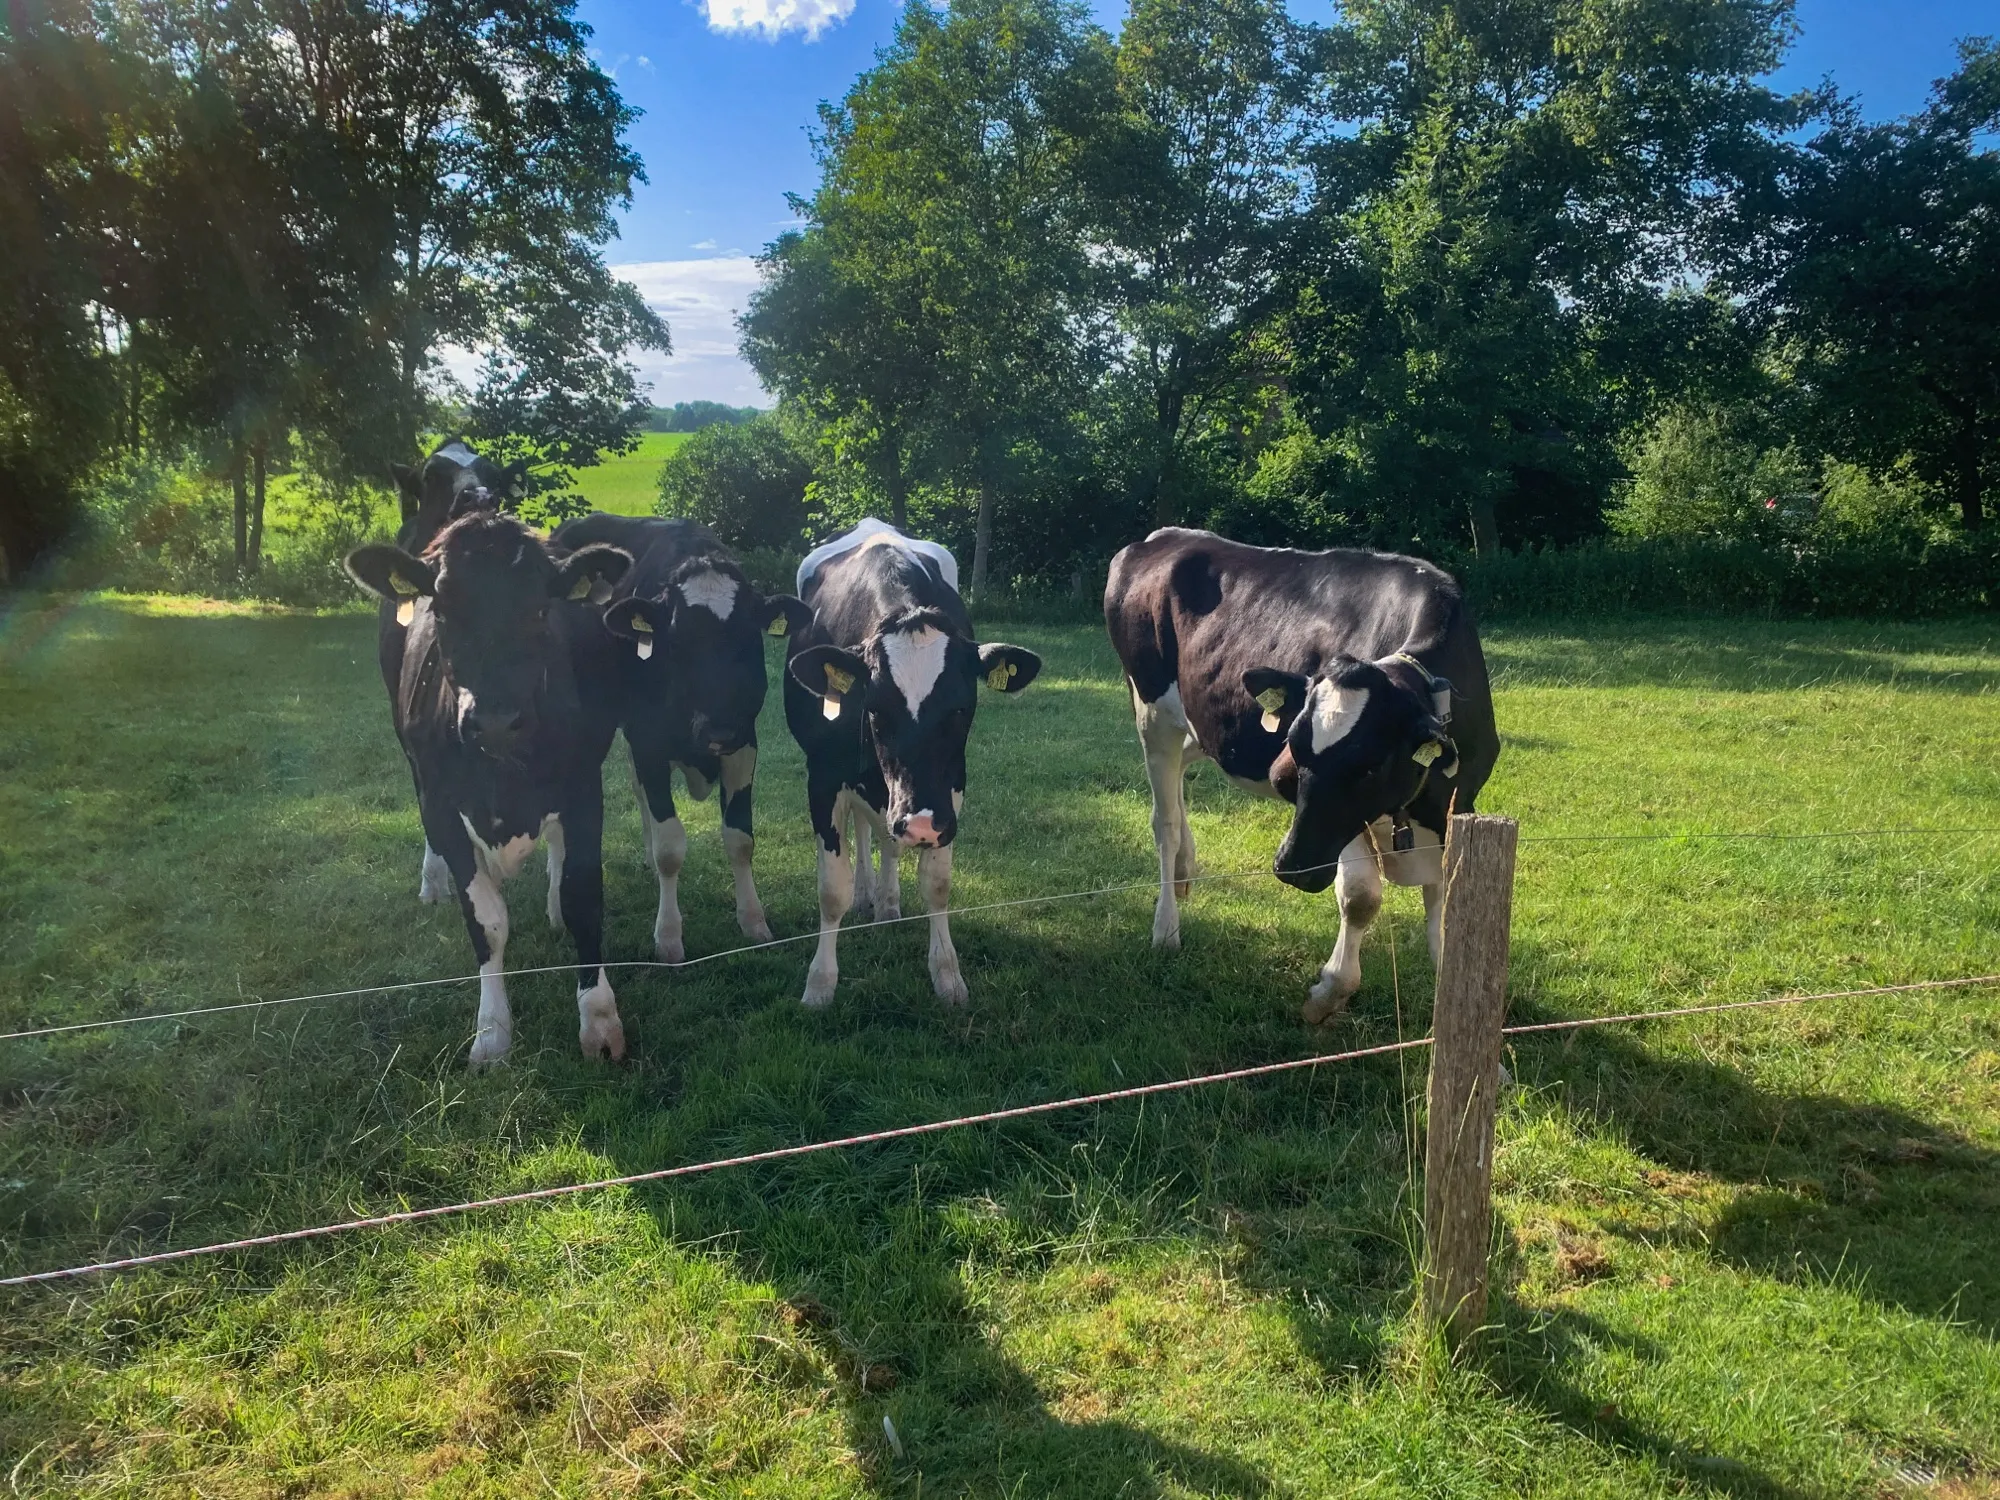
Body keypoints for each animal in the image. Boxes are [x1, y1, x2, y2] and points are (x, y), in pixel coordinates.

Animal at [345, 510, 633, 1066]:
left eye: (541, 609)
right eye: (442, 609)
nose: (496, 721)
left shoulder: (584, 788)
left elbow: (582, 898)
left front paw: (600, 1022)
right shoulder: (439, 803)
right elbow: (487, 921)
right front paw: (493, 1033)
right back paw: (433, 881)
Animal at [549, 513, 811, 962]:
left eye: (747, 636)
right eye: (676, 640)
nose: (717, 729)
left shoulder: (744, 743)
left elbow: (740, 839)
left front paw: (753, 920)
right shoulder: (648, 742)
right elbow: (670, 846)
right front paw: (669, 936)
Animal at [782, 519, 1041, 1009]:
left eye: (961, 708)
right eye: (875, 710)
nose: (919, 824)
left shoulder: (948, 790)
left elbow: (937, 885)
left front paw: (947, 975)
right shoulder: (821, 777)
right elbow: (831, 889)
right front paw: (819, 984)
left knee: (884, 834)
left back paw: (886, 903)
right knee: (866, 828)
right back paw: (867, 895)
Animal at [1103, 528, 1499, 1024]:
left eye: (1371, 765)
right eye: (1293, 748)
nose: (1293, 867)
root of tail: (1160, 536)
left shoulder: (1457, 803)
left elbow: (1447, 912)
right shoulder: (1340, 826)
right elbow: (1360, 897)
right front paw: (1327, 994)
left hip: (1201, 724)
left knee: (1183, 777)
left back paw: (1184, 869)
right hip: (1152, 714)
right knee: (1165, 821)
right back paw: (1166, 927)